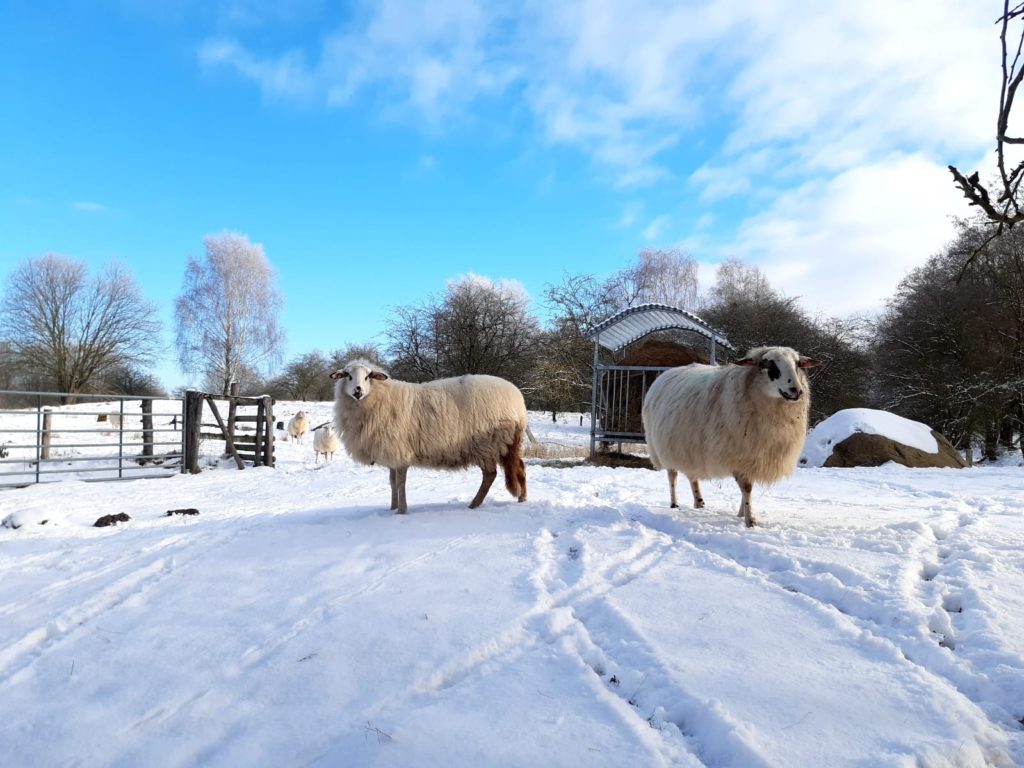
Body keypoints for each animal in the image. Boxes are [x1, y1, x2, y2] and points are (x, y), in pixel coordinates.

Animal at [331, 360, 532, 518]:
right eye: (347, 375)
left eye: (368, 376)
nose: (358, 391)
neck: (379, 399)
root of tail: (518, 402)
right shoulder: (392, 453)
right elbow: (392, 482)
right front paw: (392, 508)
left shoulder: (400, 451)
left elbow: (400, 483)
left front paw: (401, 511)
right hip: (505, 443)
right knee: (520, 466)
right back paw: (522, 498)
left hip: (488, 443)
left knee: (490, 475)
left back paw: (474, 504)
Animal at [643, 346, 819, 528]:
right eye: (767, 364)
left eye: (797, 364)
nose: (796, 390)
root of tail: (666, 373)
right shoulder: (739, 455)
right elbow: (747, 488)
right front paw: (750, 520)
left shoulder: (753, 456)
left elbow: (747, 488)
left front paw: (741, 513)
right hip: (664, 447)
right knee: (672, 477)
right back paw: (675, 504)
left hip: (691, 447)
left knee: (693, 476)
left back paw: (699, 502)